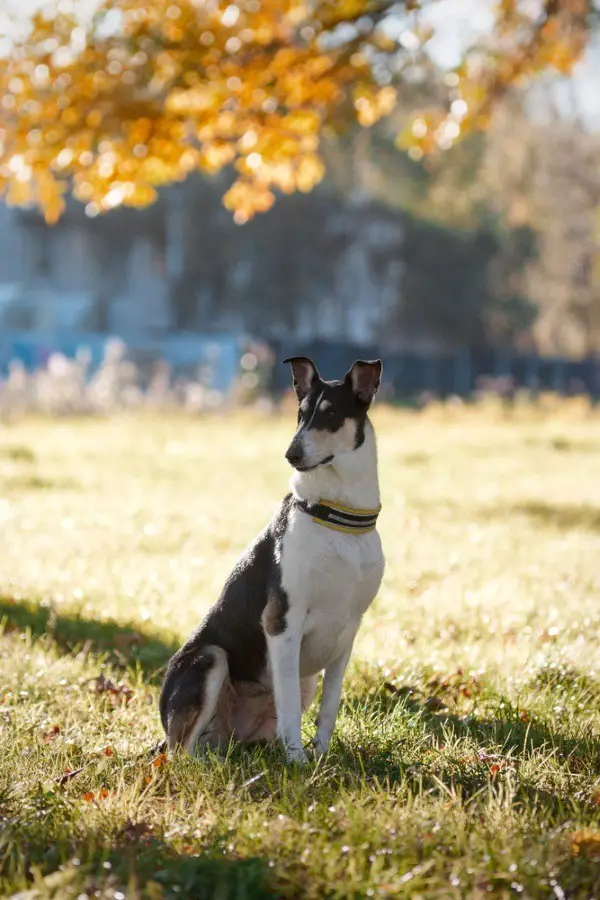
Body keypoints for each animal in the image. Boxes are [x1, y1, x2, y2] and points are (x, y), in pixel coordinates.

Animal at [159, 356, 384, 764]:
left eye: (331, 414)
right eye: (301, 414)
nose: (291, 454)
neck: (338, 516)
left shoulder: (348, 632)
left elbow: (330, 708)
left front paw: (320, 758)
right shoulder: (282, 622)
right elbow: (290, 708)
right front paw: (298, 762)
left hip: (301, 682)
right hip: (211, 658)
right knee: (179, 751)